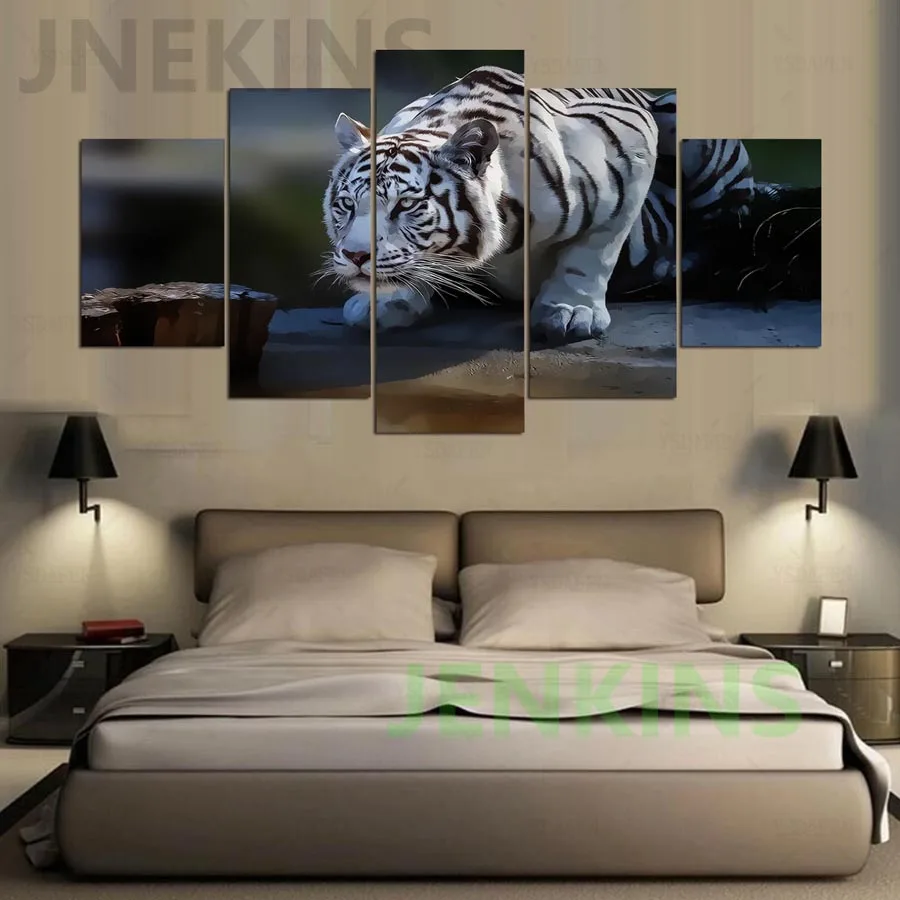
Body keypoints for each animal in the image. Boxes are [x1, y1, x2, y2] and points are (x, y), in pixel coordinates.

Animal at [322, 66, 658, 344]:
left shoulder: (632, 139)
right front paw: (383, 301)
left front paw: (571, 309)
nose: (355, 256)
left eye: (405, 204)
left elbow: (594, 250)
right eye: (347, 204)